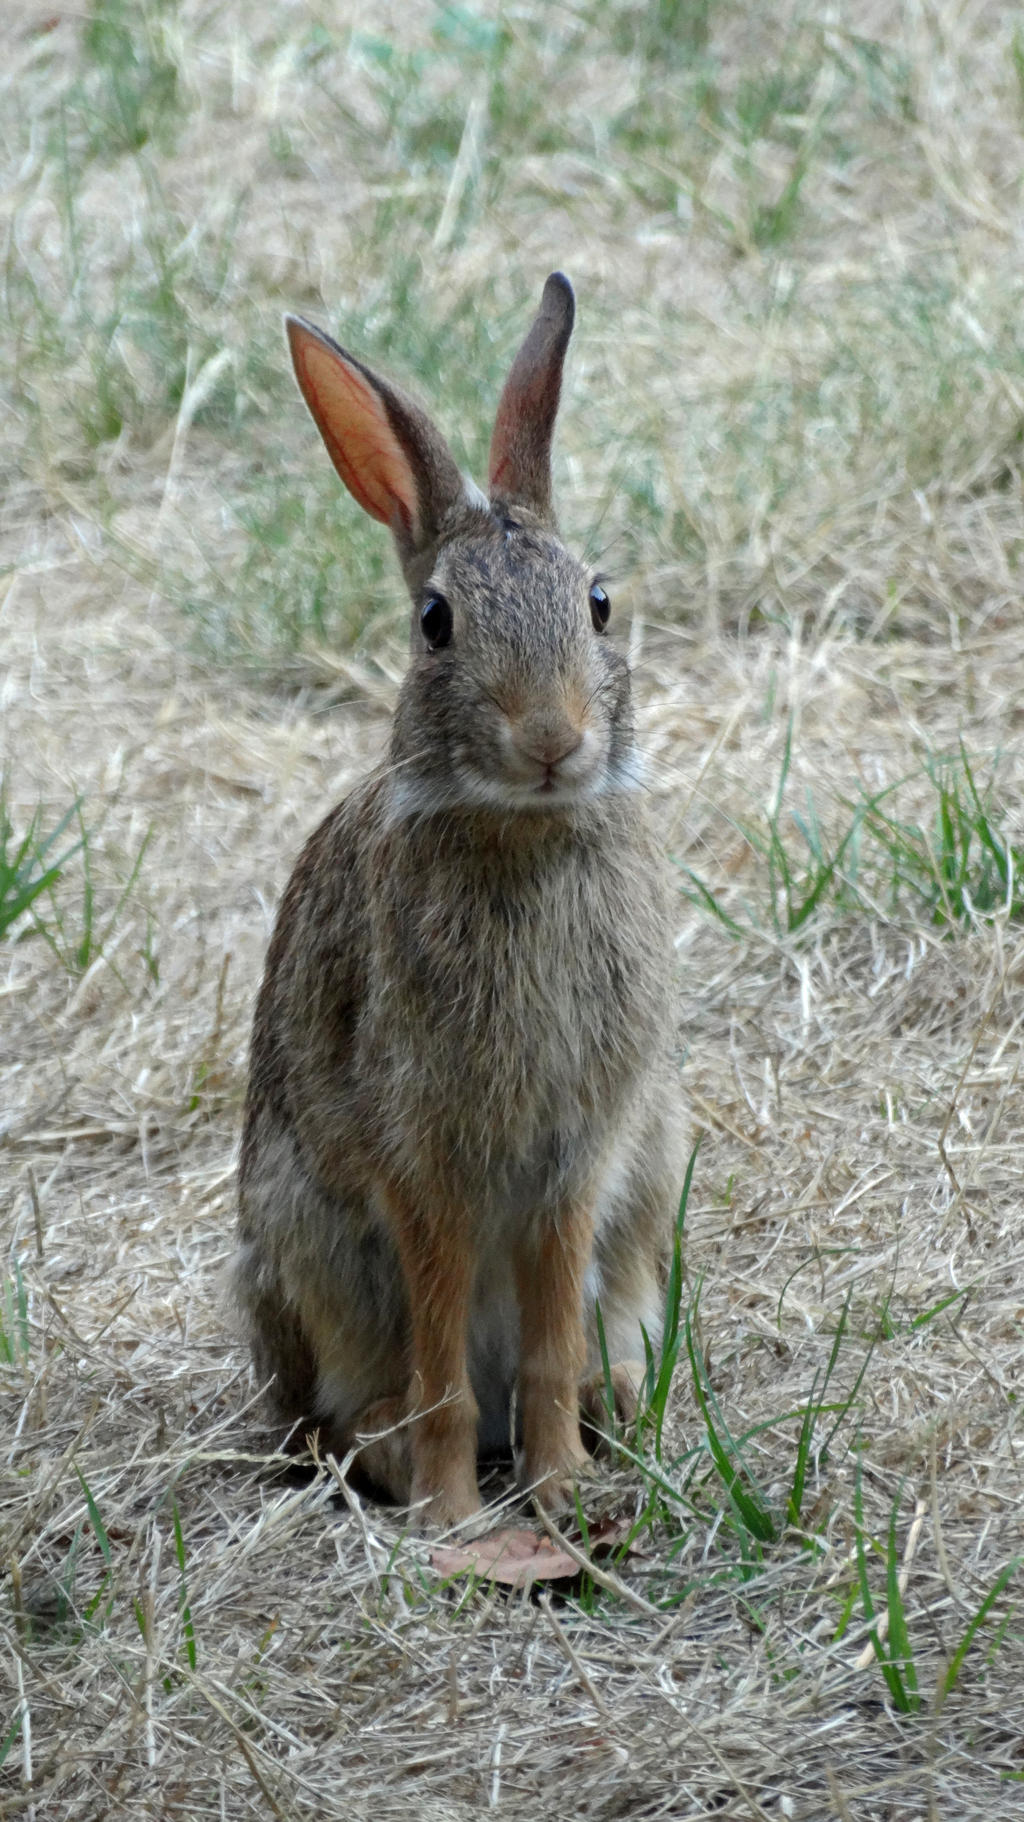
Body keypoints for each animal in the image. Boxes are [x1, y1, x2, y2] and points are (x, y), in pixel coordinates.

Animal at [234, 272, 683, 1529]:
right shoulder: (421, 1156)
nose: (551, 739)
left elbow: (547, 1333)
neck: (521, 832)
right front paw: (448, 1515)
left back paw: (610, 1413)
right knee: (358, 1409)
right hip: (309, 1248)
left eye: (598, 601)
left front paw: (561, 1488)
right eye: (436, 623)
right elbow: (441, 1346)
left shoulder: (579, 1157)